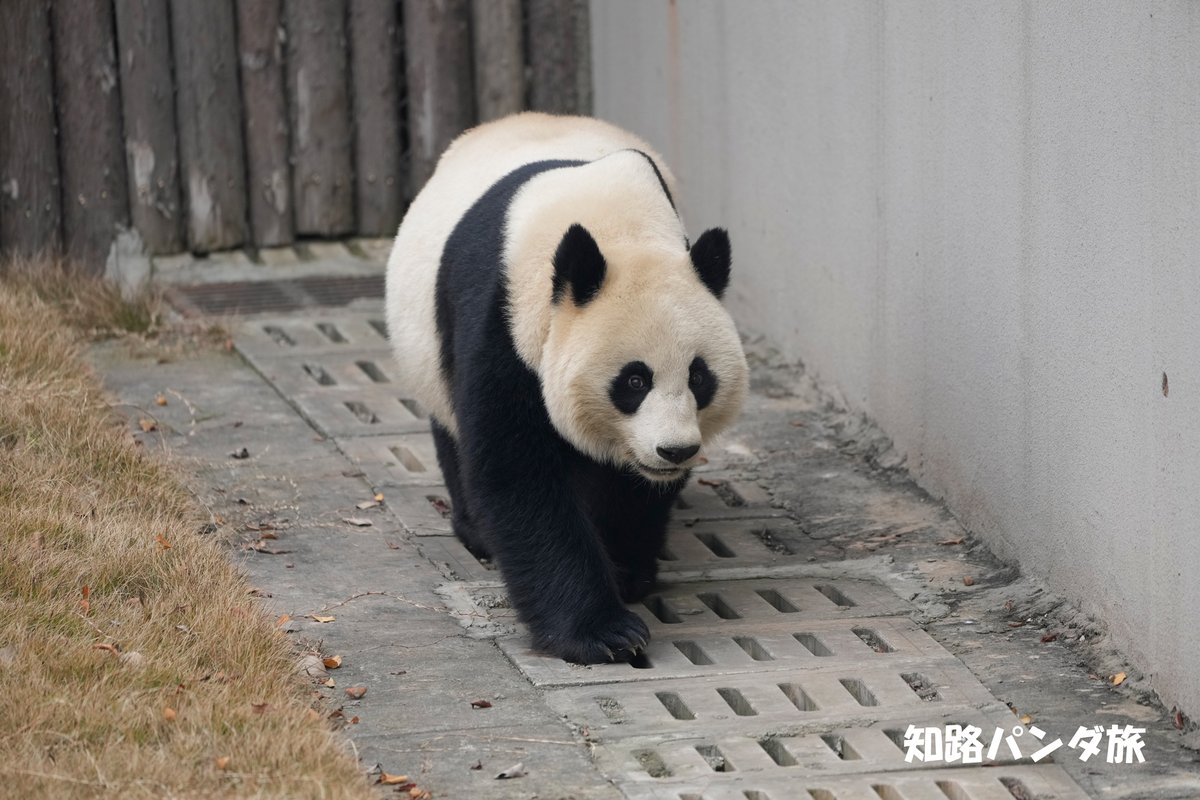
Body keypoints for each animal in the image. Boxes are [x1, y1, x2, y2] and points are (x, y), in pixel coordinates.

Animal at [385, 112, 748, 664]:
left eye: (699, 377)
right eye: (634, 381)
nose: (675, 450)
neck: (617, 227)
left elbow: (629, 487)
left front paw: (627, 570)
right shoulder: (505, 324)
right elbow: (517, 473)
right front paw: (604, 632)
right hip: (427, 347)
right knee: (452, 431)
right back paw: (476, 533)